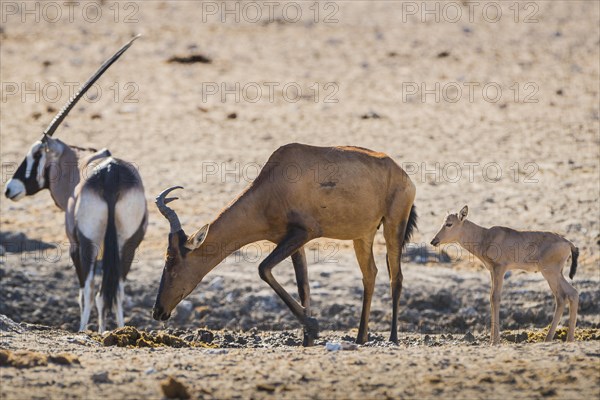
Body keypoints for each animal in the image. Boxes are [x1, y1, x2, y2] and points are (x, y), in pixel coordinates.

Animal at [3, 37, 148, 332]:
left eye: (36, 154)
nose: (10, 189)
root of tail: (110, 173)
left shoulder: (74, 244)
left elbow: (84, 292)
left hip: (88, 243)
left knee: (92, 288)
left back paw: (88, 330)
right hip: (128, 243)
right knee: (117, 289)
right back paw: (116, 329)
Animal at [152, 145, 414, 346]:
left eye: (172, 263)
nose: (158, 312)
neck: (273, 184)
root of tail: (402, 173)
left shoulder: (303, 233)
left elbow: (263, 269)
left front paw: (313, 327)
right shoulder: (293, 242)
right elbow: (303, 286)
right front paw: (308, 339)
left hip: (394, 225)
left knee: (397, 277)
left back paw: (393, 338)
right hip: (363, 235)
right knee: (370, 275)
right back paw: (360, 339)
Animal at [428, 206, 580, 344]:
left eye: (449, 224)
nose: (434, 241)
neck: (485, 236)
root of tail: (568, 243)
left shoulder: (500, 269)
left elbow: (495, 298)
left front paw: (495, 341)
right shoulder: (492, 271)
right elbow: (491, 297)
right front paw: (491, 340)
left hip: (550, 273)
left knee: (562, 296)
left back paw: (552, 339)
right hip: (556, 274)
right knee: (571, 294)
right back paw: (565, 339)